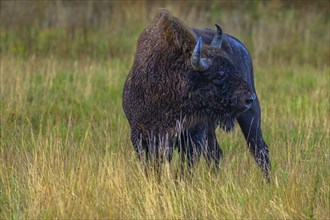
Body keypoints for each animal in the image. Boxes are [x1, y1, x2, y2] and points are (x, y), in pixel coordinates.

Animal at [122, 9, 270, 180]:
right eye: (220, 74)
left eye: (233, 67)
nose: (249, 98)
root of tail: (239, 45)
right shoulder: (140, 136)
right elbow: (153, 166)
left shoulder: (193, 137)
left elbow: (185, 168)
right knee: (216, 153)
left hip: (250, 116)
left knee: (259, 150)